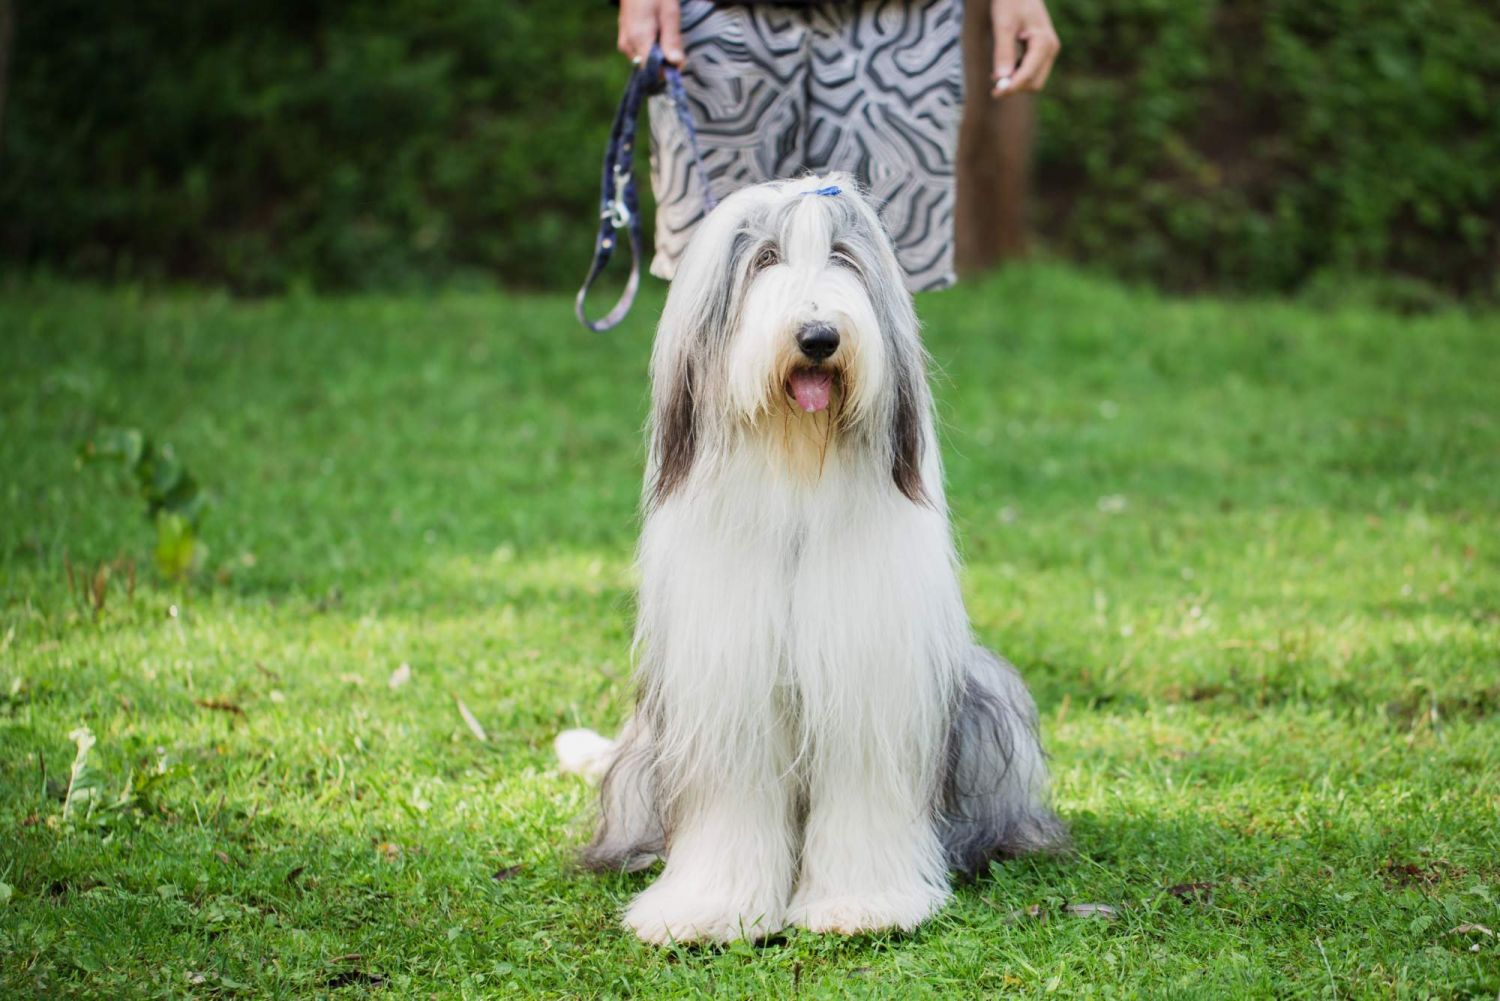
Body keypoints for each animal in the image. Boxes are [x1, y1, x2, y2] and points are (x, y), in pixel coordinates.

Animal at [556, 175, 1066, 944]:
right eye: (764, 257)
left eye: (844, 257)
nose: (819, 337)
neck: (797, 473)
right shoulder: (729, 691)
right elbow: (730, 807)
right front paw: (710, 909)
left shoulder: (869, 681)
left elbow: (862, 800)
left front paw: (861, 904)